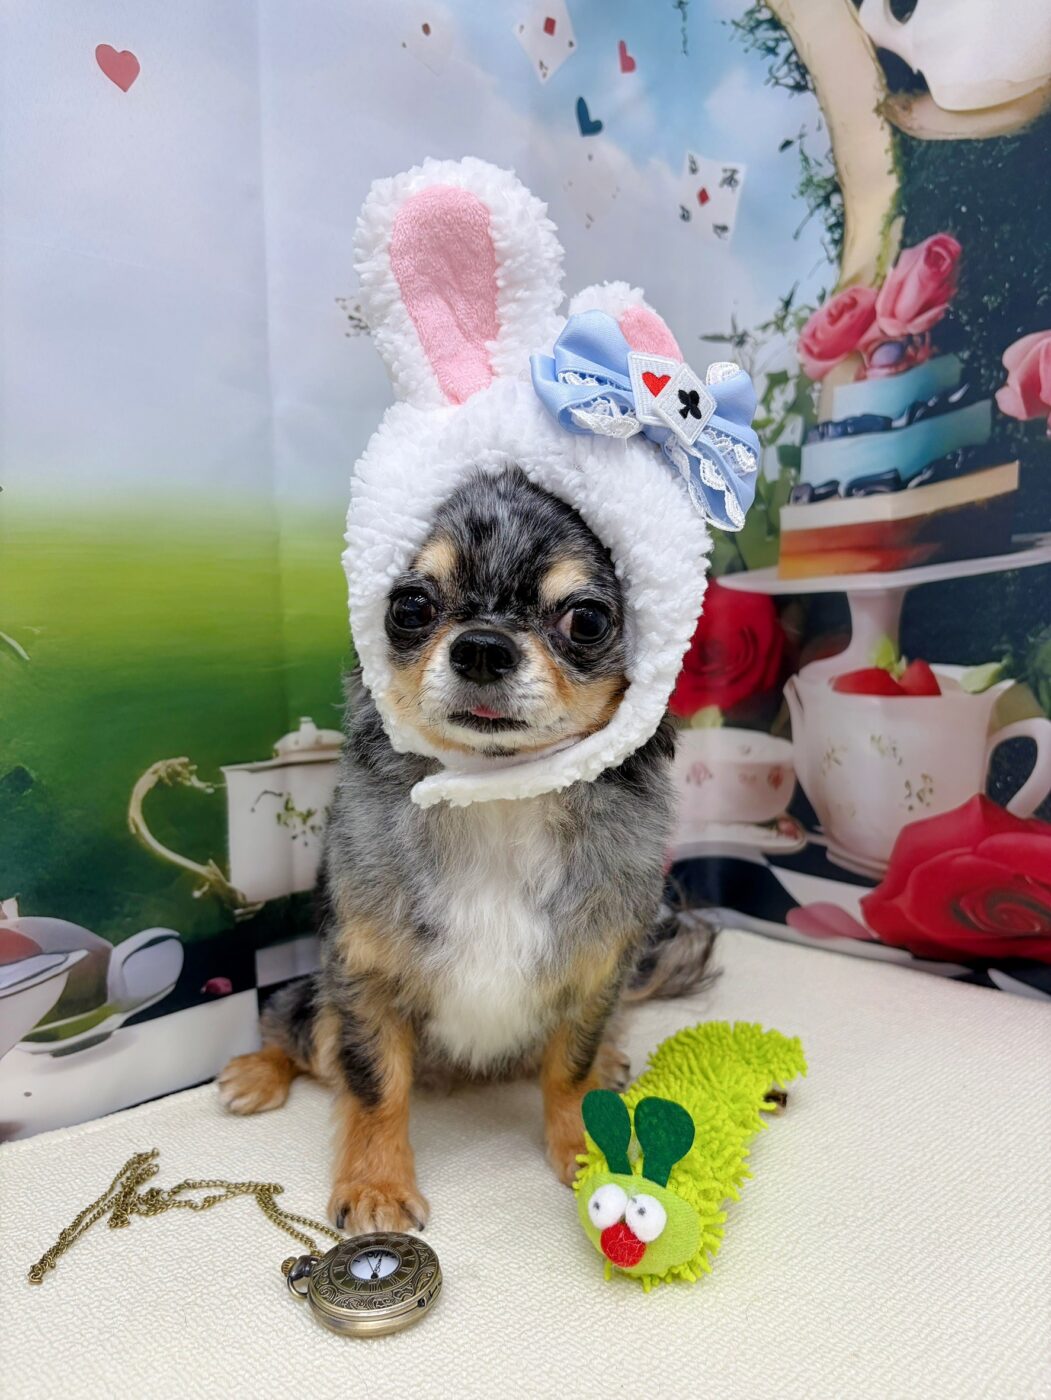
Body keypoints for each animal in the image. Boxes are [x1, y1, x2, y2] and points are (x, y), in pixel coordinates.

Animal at [218, 464, 713, 1232]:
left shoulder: (593, 972)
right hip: (314, 1003)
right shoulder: (362, 975)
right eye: (410, 607)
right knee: (296, 1034)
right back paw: (256, 1073)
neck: (497, 795)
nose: (481, 645)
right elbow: (373, 1085)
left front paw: (583, 1147)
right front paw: (376, 1184)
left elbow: (568, 1067)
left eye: (588, 620)